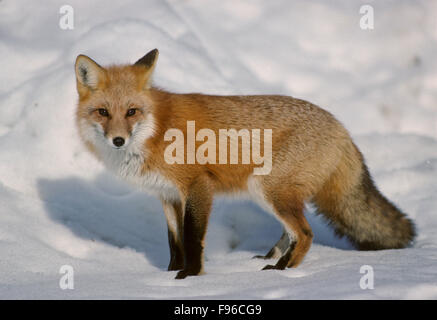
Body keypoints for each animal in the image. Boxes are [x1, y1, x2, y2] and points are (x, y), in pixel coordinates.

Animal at [76, 49, 416, 278]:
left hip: (268, 188)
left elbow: (192, 237)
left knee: (306, 233)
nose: (118, 140)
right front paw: (167, 275)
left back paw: (282, 270)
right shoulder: (167, 195)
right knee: (292, 231)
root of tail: (342, 128)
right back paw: (271, 258)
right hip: (267, 192)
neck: (157, 130)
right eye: (103, 112)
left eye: (131, 112)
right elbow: (175, 242)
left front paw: (190, 277)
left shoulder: (197, 186)